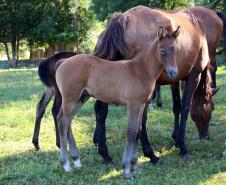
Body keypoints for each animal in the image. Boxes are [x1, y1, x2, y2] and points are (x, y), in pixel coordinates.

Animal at [55, 18, 208, 178]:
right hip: (70, 98)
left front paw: (135, 166)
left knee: (66, 121)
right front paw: (127, 169)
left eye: (176, 50)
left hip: (81, 98)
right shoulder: (133, 104)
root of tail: (62, 63)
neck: (141, 70)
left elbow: (138, 131)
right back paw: (66, 164)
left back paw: (77, 161)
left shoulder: (142, 104)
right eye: (162, 50)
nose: (173, 73)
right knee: (63, 122)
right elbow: (131, 132)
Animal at [92, 5, 215, 163]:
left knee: (101, 110)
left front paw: (175, 138)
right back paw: (150, 153)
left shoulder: (174, 78)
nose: (206, 135)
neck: (198, 29)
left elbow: (177, 107)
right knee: (141, 119)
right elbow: (185, 109)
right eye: (212, 108)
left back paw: (105, 153)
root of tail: (122, 18)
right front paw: (182, 146)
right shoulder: (194, 76)